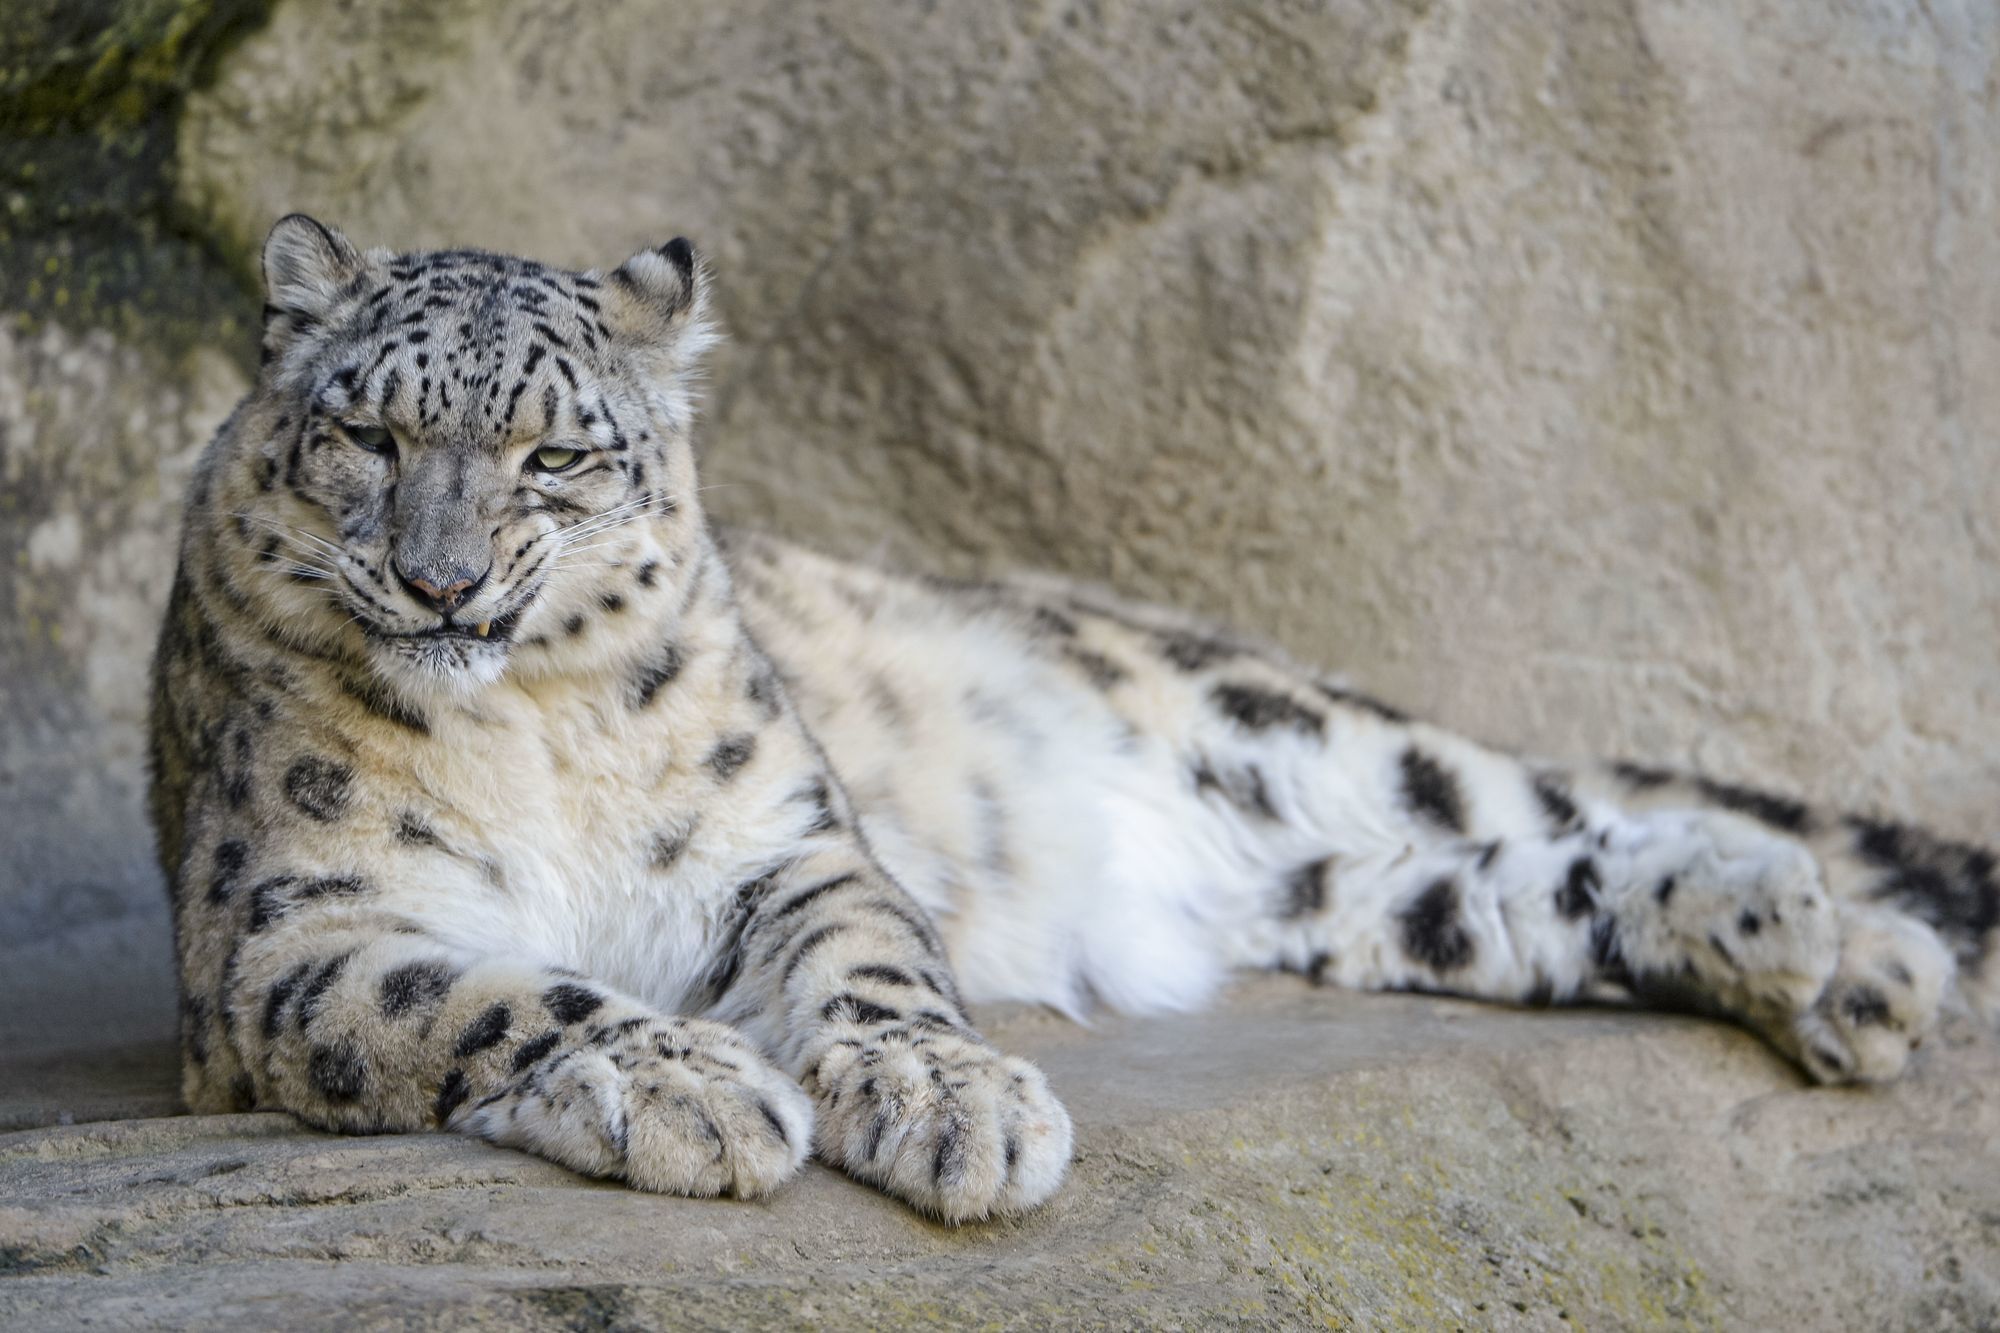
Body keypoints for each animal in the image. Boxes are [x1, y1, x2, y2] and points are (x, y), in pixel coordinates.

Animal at [148, 215, 1992, 1216]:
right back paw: (1827, 956)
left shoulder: (791, 845)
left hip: (1291, 726)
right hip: (1333, 886)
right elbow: (475, 992)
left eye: (552, 456)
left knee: (1537, 803)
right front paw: (687, 1086)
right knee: (1496, 891)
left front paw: (957, 1107)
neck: (530, 726)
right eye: (370, 437)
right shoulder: (286, 929)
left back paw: (1842, 944)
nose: (445, 581)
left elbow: (878, 966)